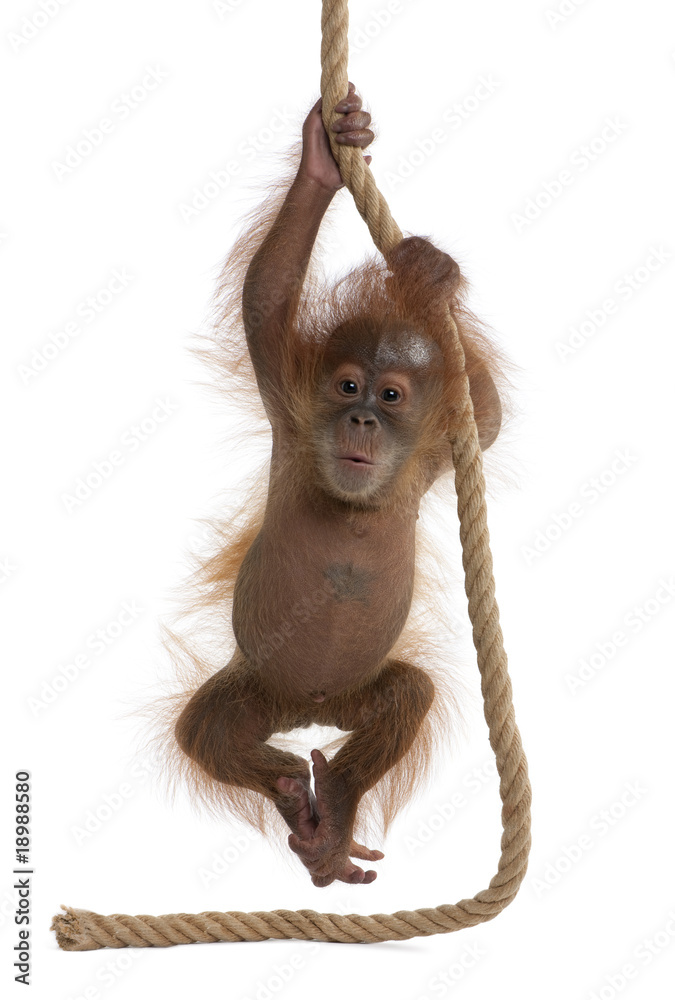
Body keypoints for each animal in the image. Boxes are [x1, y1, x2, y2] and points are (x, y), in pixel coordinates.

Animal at [159, 85, 508, 887]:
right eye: (348, 386)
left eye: (391, 395)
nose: (361, 419)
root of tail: (307, 710)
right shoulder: (289, 408)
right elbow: (266, 298)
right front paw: (321, 157)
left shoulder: (433, 455)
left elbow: (485, 414)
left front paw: (432, 277)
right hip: (258, 687)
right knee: (211, 729)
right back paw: (296, 799)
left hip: (355, 693)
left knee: (406, 695)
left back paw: (336, 804)